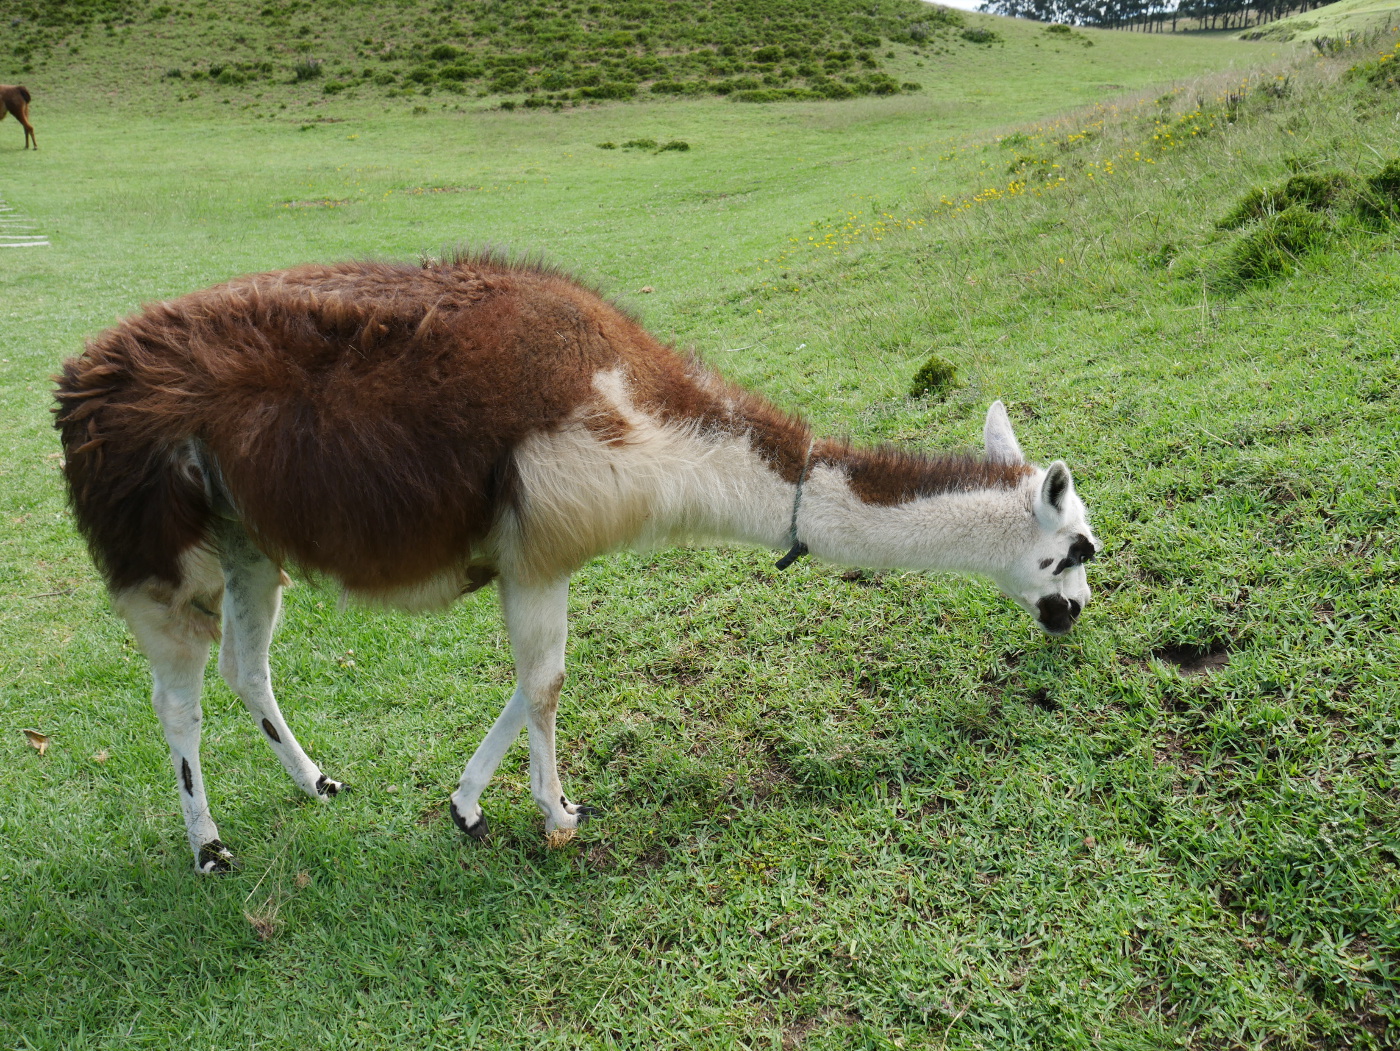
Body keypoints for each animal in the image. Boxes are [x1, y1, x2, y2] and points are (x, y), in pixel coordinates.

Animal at [54, 252, 1098, 873]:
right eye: (1072, 554)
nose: (1074, 615)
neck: (653, 421)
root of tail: (78, 380)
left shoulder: (537, 555)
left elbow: (532, 680)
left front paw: (470, 804)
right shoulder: (543, 541)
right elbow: (548, 684)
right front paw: (556, 814)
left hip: (244, 537)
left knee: (246, 663)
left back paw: (315, 783)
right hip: (156, 550)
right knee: (179, 698)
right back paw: (209, 844)